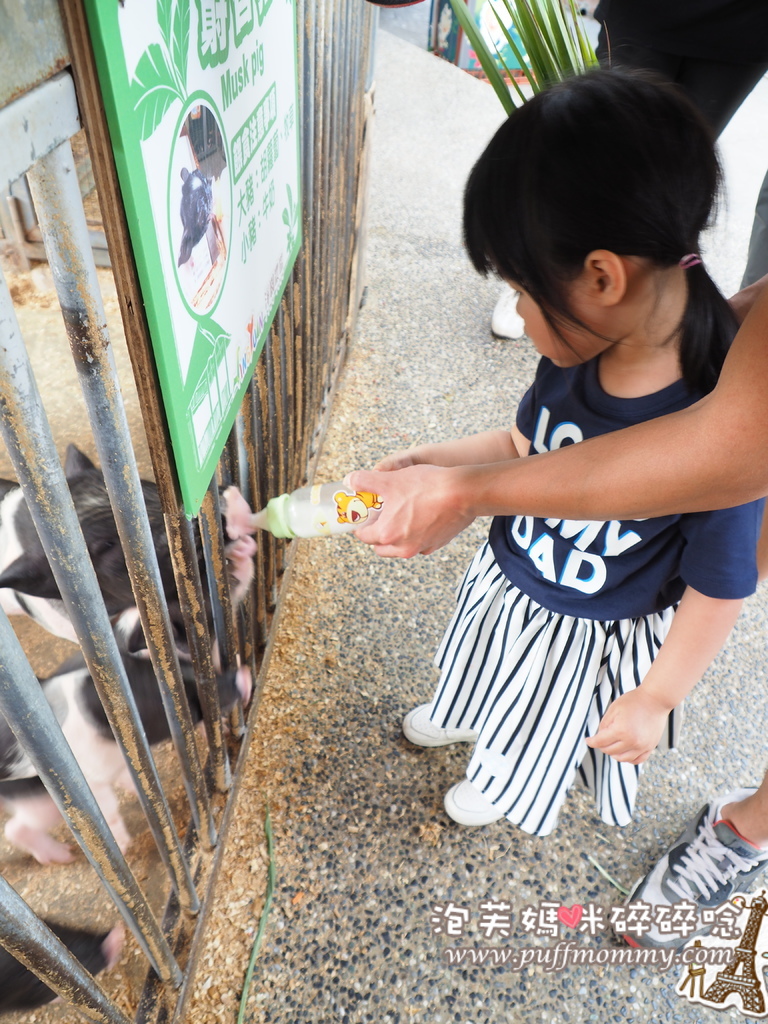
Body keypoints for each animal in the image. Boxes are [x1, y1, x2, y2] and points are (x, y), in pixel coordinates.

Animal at [0, 610, 252, 868]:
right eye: (182, 703)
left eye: (186, 665)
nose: (244, 676)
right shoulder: (85, 781)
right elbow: (107, 810)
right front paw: (124, 845)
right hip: (43, 799)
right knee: (14, 830)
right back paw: (64, 855)